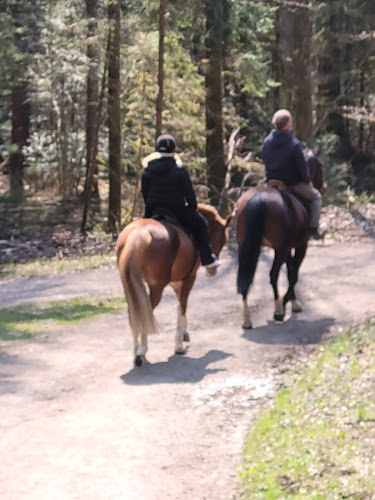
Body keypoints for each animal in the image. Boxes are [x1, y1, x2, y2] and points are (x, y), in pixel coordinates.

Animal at [116, 203, 232, 368]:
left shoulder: (176, 282)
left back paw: (136, 350)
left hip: (130, 285)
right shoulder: (189, 278)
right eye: (223, 240)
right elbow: (182, 306)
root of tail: (139, 234)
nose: (212, 271)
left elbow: (178, 305)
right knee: (146, 312)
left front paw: (184, 334)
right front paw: (179, 345)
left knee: (135, 312)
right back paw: (142, 350)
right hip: (156, 288)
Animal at [238, 150, 326, 326]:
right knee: (273, 275)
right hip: (280, 249)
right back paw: (278, 309)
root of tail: (258, 198)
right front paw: (288, 303)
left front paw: (294, 303)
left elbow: (290, 269)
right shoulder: (300, 245)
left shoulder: (287, 248)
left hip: (245, 246)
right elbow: (294, 274)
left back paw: (247, 319)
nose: (324, 187)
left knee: (244, 276)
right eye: (321, 165)